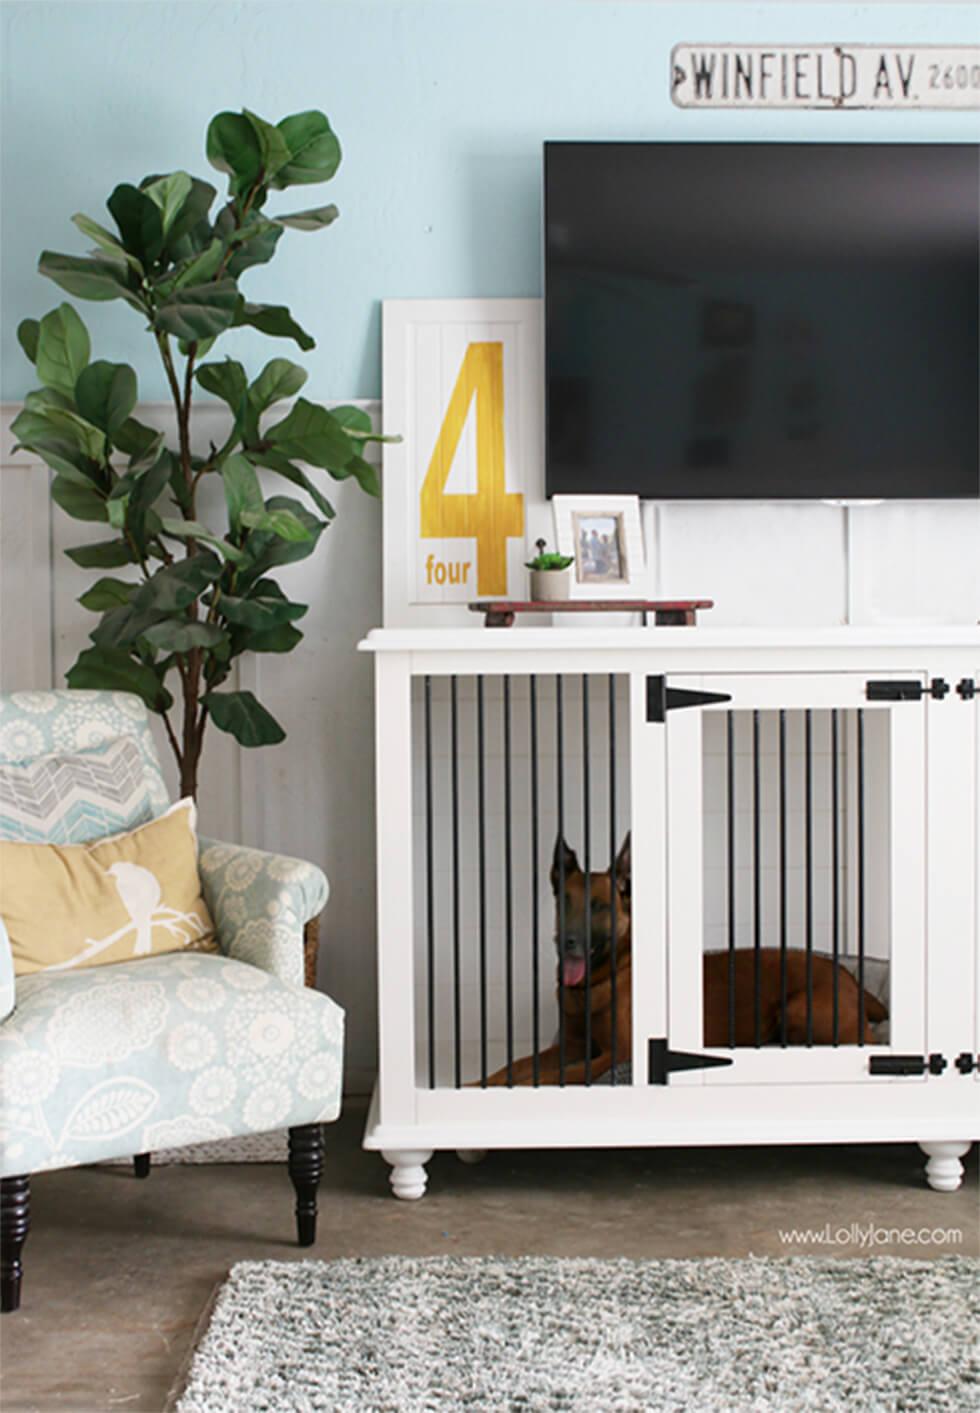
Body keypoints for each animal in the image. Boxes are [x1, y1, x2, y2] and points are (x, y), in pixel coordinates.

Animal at [482, 830, 892, 1085]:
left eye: (599, 907)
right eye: (564, 903)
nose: (566, 942)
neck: (599, 981)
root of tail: (852, 980)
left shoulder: (618, 1052)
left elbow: (558, 1075)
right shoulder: (570, 1044)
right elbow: (515, 1065)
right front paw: (481, 1083)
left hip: (799, 1009)